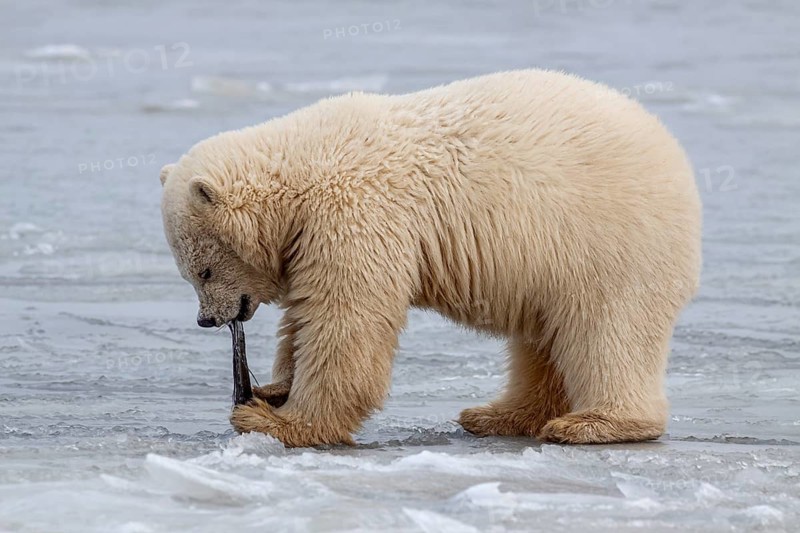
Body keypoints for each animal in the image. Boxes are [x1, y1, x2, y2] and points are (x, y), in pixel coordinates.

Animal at [160, 69, 701, 448]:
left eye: (202, 270)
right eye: (189, 274)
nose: (207, 319)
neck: (305, 169)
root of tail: (674, 154)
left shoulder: (355, 215)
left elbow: (345, 320)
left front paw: (275, 420)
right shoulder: (312, 235)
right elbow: (304, 315)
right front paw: (274, 388)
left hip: (609, 242)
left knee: (607, 330)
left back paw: (595, 422)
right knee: (543, 338)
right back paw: (498, 415)